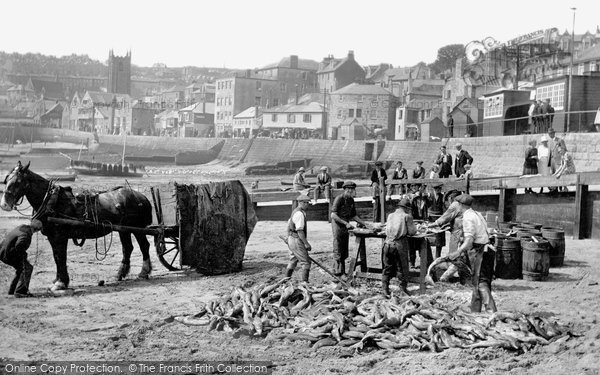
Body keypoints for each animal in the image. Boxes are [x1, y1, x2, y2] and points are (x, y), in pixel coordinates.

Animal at [1, 161, 155, 290]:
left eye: (18, 182)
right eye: (6, 180)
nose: (4, 205)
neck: (53, 201)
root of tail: (141, 197)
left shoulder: (59, 237)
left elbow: (60, 257)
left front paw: (61, 283)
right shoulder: (52, 237)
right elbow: (57, 257)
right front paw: (57, 280)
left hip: (137, 229)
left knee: (144, 246)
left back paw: (143, 272)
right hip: (123, 230)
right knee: (127, 248)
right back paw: (120, 274)